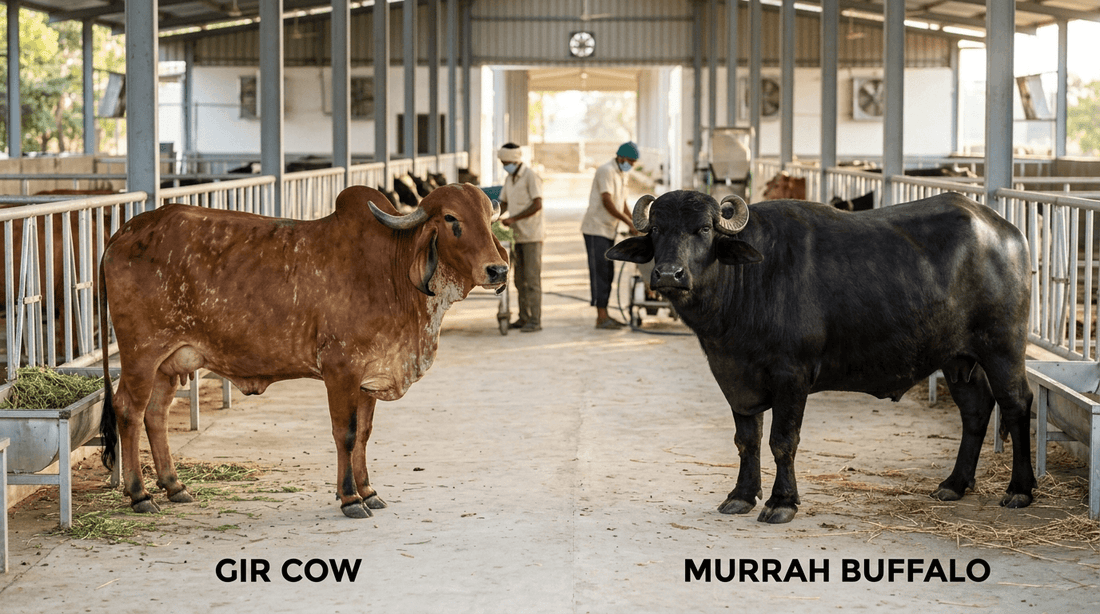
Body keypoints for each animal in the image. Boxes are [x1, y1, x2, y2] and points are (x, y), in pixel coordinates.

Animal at [98, 184, 509, 519]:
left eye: (488, 217)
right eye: (451, 218)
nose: (498, 270)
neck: (390, 272)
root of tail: (123, 233)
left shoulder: (369, 376)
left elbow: (364, 434)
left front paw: (369, 491)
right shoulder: (341, 370)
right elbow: (346, 433)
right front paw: (349, 498)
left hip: (169, 363)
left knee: (156, 415)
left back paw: (174, 486)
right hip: (141, 354)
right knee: (130, 411)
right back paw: (139, 495)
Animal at [606, 190, 1036, 524]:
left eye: (705, 229)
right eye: (657, 230)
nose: (669, 274)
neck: (746, 286)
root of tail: (1007, 232)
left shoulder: (791, 376)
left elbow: (782, 440)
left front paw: (782, 502)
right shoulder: (735, 377)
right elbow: (747, 439)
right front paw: (741, 496)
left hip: (1002, 346)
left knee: (1016, 404)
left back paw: (1020, 490)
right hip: (957, 358)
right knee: (976, 410)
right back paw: (954, 484)